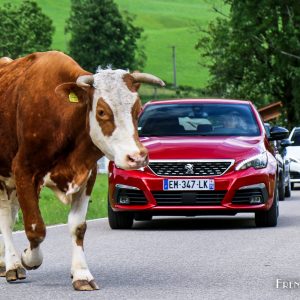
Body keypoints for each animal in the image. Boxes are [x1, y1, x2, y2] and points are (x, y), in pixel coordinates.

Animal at [0, 51, 164, 290]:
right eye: (102, 111)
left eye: (137, 110)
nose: (137, 157)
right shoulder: (23, 170)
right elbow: (35, 228)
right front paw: (28, 258)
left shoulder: (87, 174)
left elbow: (77, 227)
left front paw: (81, 274)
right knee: (6, 218)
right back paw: (12, 265)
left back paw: (4, 263)